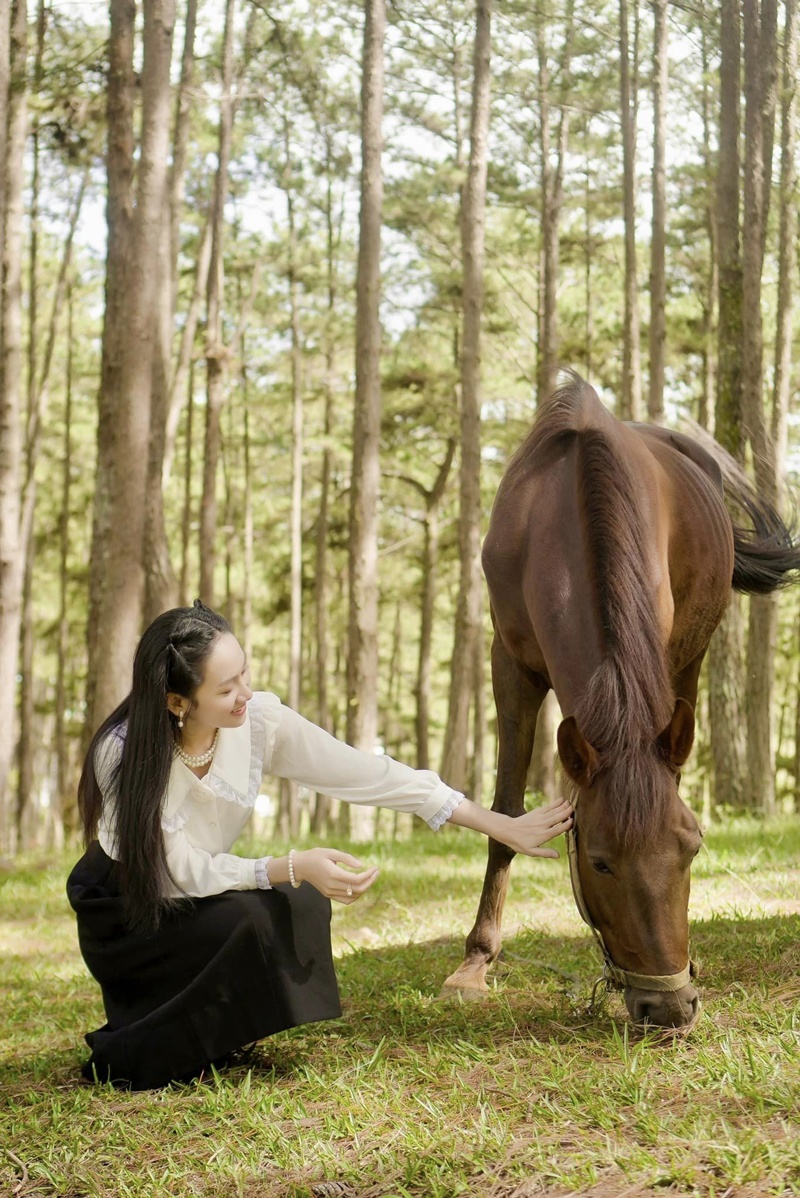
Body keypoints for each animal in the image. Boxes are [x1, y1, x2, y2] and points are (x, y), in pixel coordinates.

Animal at [443, 376, 800, 1030]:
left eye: (691, 847)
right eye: (601, 861)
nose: (672, 1006)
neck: (557, 515)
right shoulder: (510, 666)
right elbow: (504, 813)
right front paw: (475, 963)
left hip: (692, 656)